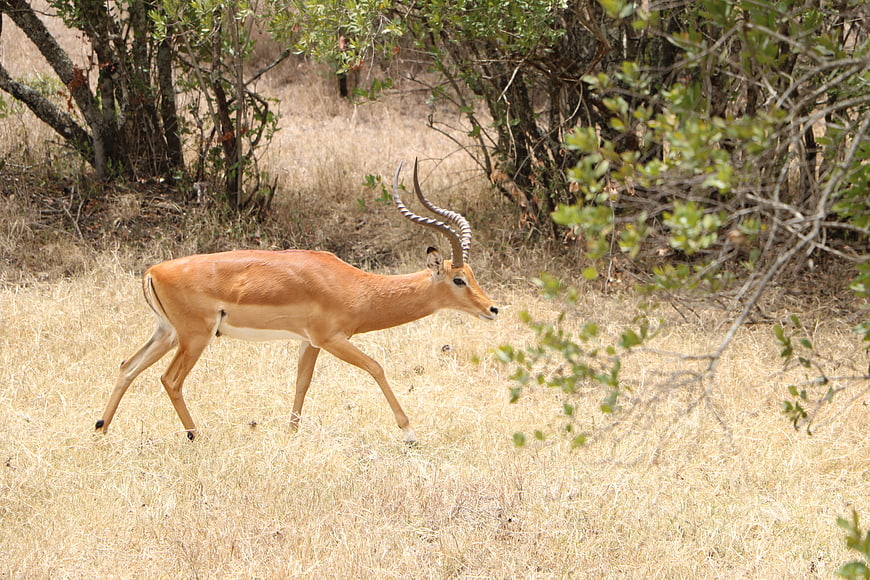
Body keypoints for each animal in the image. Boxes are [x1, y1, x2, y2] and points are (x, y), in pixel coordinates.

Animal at [95, 160, 499, 443]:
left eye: (473, 273)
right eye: (459, 279)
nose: (492, 308)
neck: (356, 286)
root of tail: (153, 271)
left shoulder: (310, 342)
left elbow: (301, 383)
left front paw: (290, 434)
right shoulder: (332, 339)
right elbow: (376, 367)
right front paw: (409, 433)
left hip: (167, 333)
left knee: (127, 367)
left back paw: (101, 430)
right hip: (195, 337)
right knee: (170, 379)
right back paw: (197, 436)